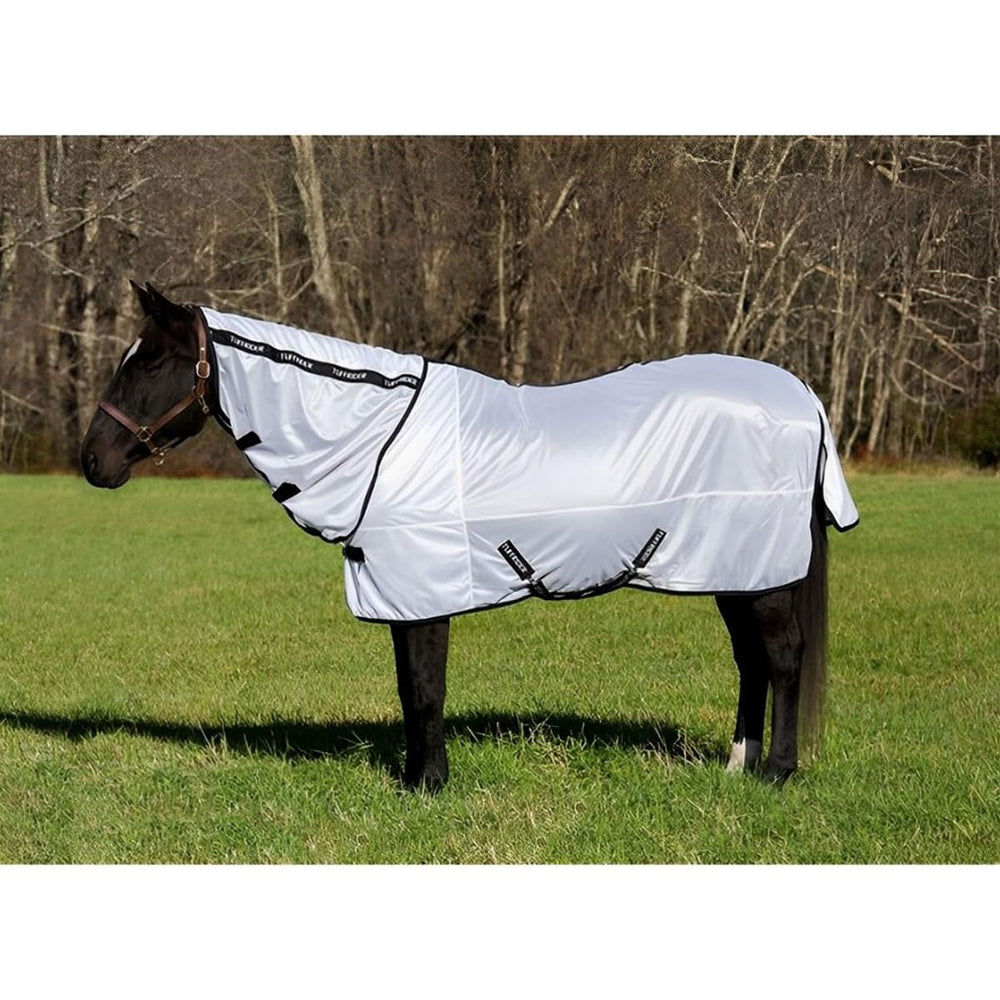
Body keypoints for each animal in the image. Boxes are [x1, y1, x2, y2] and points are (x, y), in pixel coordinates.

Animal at [80, 282, 858, 792]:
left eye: (150, 362)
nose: (92, 461)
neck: (378, 439)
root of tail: (802, 397)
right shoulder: (405, 591)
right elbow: (410, 688)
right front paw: (416, 779)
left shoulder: (423, 588)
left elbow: (424, 688)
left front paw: (427, 786)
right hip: (734, 569)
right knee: (752, 662)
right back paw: (736, 766)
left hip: (760, 573)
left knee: (780, 659)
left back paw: (777, 774)